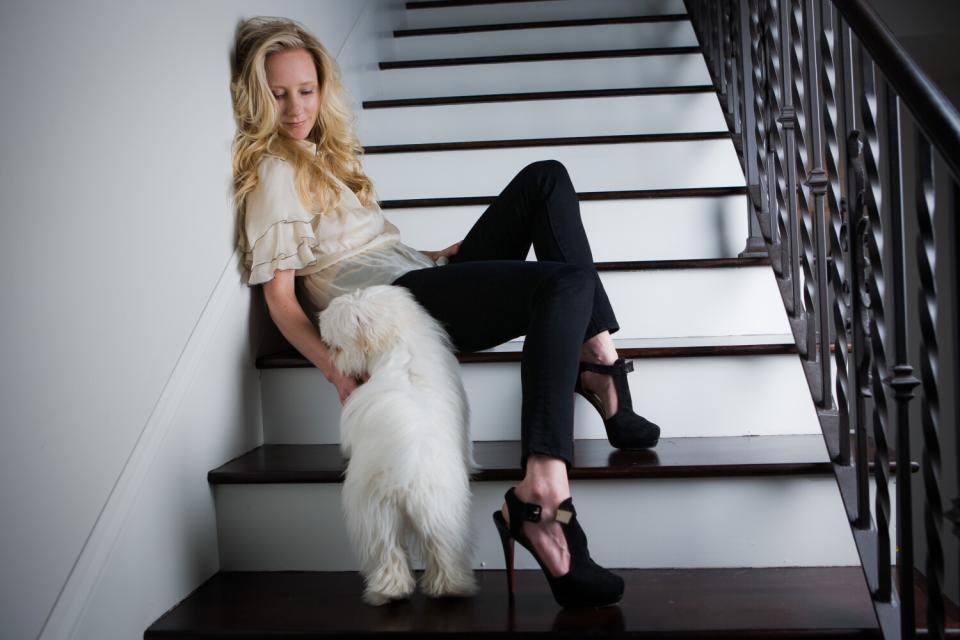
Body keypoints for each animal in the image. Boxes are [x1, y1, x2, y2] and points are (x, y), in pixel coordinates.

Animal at [316, 284, 478, 604]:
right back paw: (436, 589)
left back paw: (395, 591)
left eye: (337, 347)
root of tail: (407, 474)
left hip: (380, 513)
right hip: (428, 510)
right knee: (427, 550)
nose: (333, 361)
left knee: (392, 551)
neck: (399, 342)